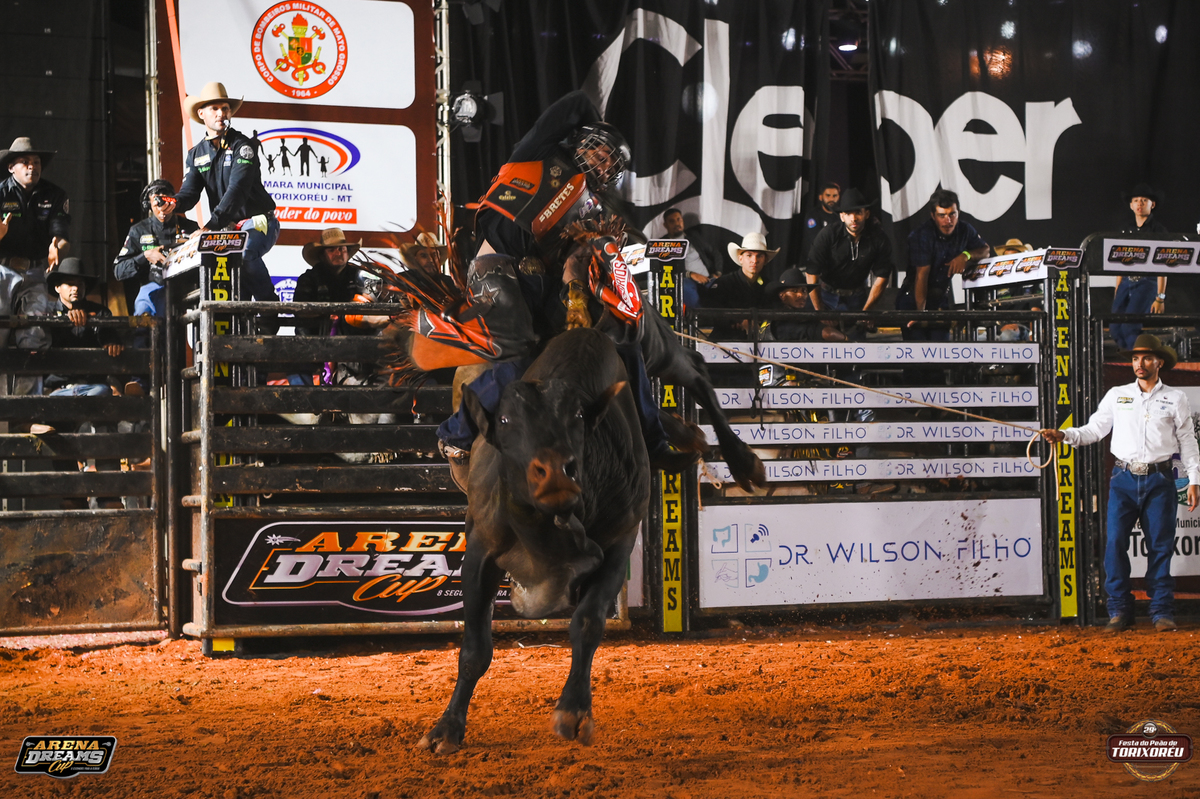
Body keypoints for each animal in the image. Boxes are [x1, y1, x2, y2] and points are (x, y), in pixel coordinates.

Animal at [417, 327, 650, 753]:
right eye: (506, 418)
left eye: (578, 417)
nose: (556, 471)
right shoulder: (481, 552)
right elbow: (474, 651)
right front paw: (447, 728)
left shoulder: (620, 540)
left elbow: (588, 622)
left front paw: (574, 710)